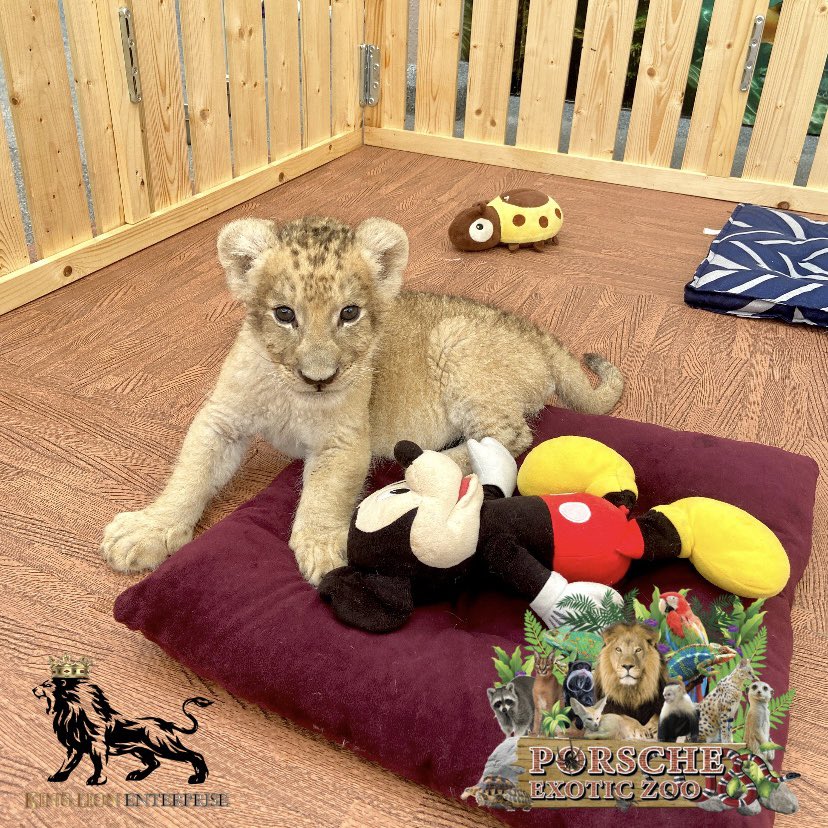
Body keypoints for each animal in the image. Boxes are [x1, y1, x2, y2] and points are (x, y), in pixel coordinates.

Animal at [32, 676, 212, 785]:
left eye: (47, 685)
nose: (34, 689)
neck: (70, 711)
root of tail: (166, 723)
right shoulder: (75, 748)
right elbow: (67, 764)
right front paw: (58, 777)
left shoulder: (97, 746)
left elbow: (98, 764)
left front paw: (96, 780)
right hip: (140, 750)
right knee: (154, 763)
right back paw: (136, 775)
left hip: (163, 745)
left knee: (195, 755)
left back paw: (198, 778)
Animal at [101, 216, 623, 584]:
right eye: (284, 314)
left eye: (349, 313)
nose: (319, 379)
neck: (290, 394)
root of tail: (537, 334)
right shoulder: (221, 420)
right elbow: (190, 473)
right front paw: (148, 530)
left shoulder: (347, 439)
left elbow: (323, 493)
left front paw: (322, 550)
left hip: (455, 344)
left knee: (507, 440)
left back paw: (424, 466)